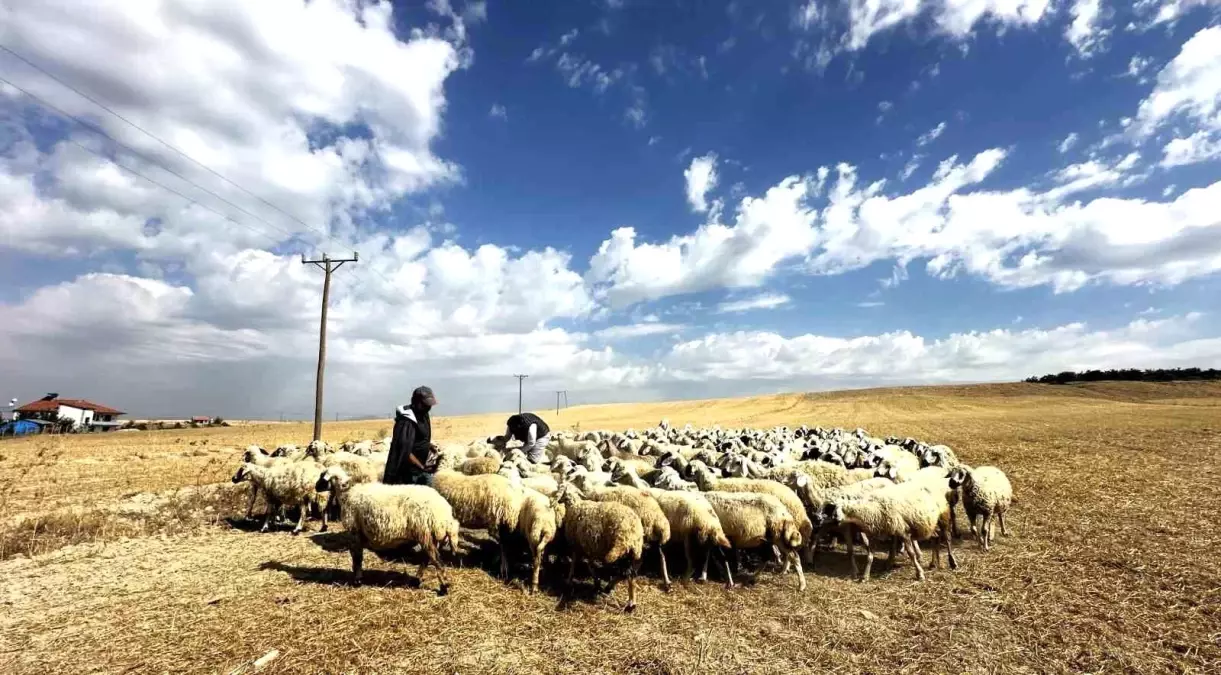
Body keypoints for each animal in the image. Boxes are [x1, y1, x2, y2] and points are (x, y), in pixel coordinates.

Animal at [317, 466, 459, 593]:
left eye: (322, 477)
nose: (316, 487)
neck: (347, 493)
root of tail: (446, 516)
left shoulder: (354, 532)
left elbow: (357, 558)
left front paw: (357, 581)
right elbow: (357, 558)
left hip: (425, 533)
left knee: (436, 561)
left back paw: (444, 587)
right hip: (433, 537)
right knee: (427, 559)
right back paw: (416, 581)